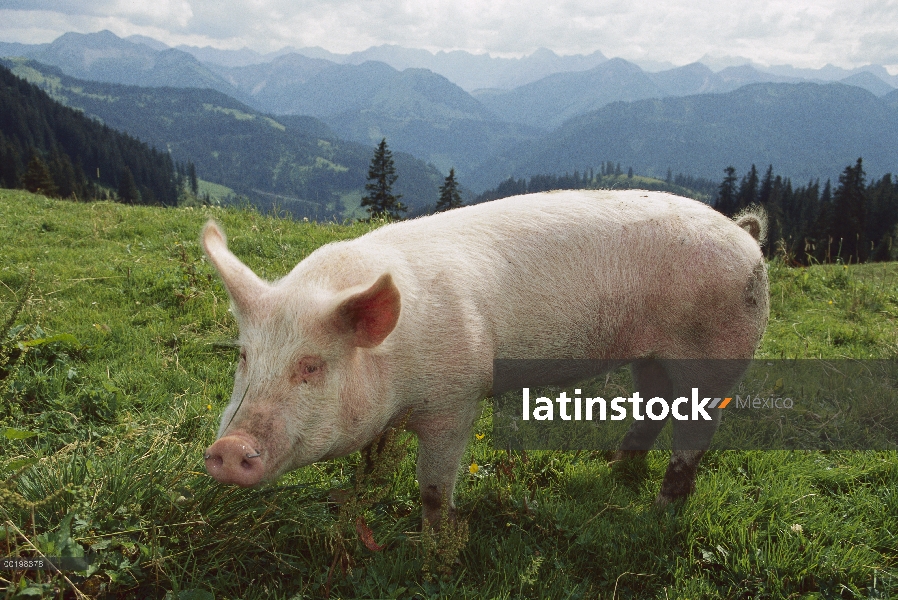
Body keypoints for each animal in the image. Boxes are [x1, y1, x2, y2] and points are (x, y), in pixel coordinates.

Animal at [203, 190, 768, 524]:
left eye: (312, 365)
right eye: (245, 358)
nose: (229, 447)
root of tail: (745, 235)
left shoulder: (457, 398)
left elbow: (433, 488)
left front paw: (437, 540)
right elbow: (373, 460)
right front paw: (363, 490)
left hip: (716, 350)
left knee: (696, 429)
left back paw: (659, 509)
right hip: (650, 353)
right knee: (654, 402)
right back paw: (615, 467)